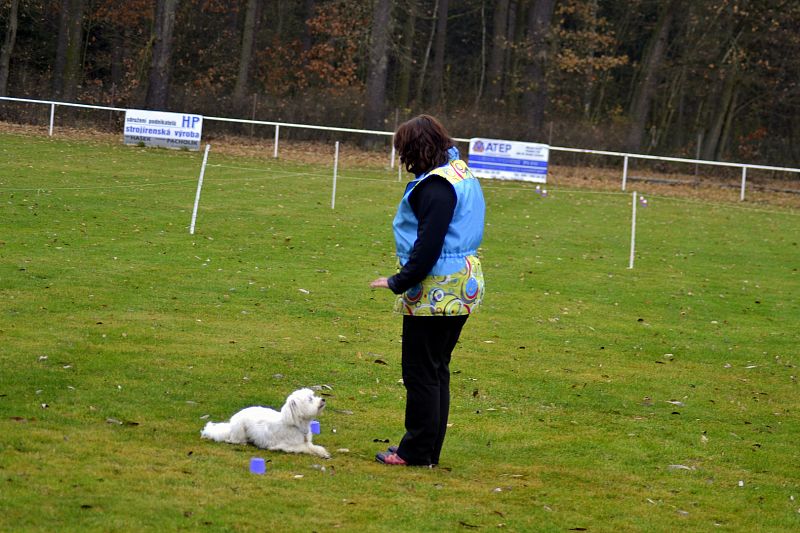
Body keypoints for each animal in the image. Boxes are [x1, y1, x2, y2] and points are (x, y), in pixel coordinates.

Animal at [202, 386, 330, 458]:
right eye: (310, 399)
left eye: (313, 396)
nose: (323, 399)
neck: (296, 424)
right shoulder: (287, 445)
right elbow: (305, 448)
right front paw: (318, 453)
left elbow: (312, 446)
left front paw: (321, 451)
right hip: (240, 430)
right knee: (233, 440)